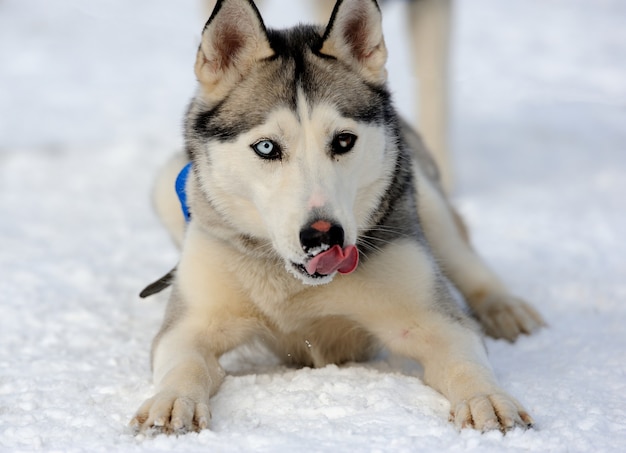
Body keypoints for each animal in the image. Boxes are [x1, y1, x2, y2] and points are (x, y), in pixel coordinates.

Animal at [130, 0, 540, 432]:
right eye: (266, 147)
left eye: (343, 141)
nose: (323, 236)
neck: (296, 286)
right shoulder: (190, 323)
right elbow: (183, 361)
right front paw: (172, 401)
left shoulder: (433, 319)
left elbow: (464, 358)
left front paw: (487, 398)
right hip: (167, 184)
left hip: (424, 200)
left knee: (464, 258)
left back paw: (505, 308)